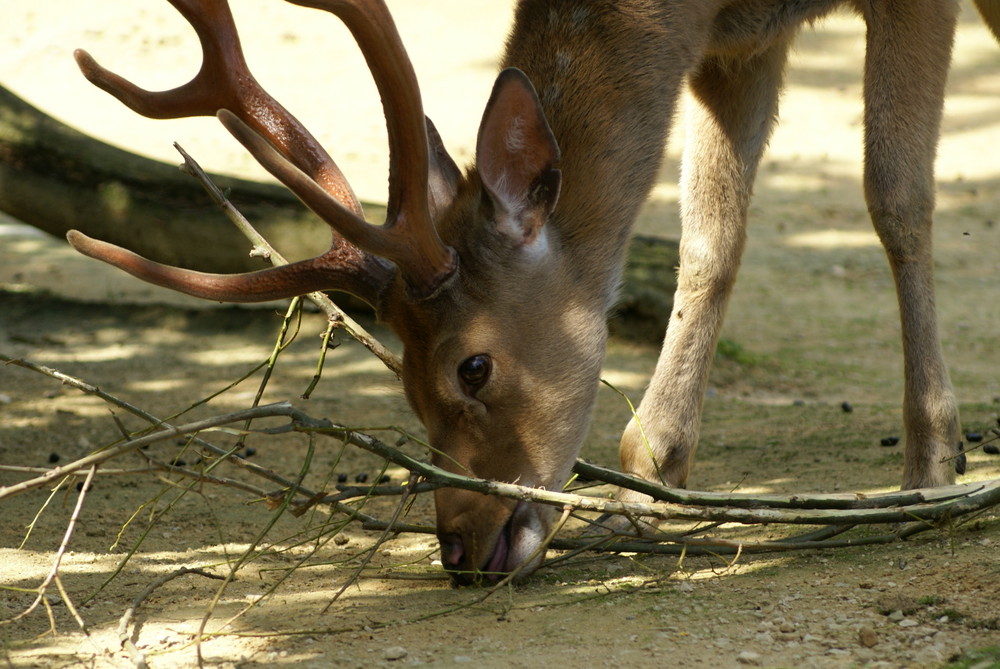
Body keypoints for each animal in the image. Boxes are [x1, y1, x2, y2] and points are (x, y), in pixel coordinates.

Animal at [64, 0, 1000, 584]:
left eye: (472, 365)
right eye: (401, 377)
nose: (460, 547)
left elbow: (897, 198)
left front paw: (930, 469)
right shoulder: (735, 43)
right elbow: (709, 238)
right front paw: (638, 495)